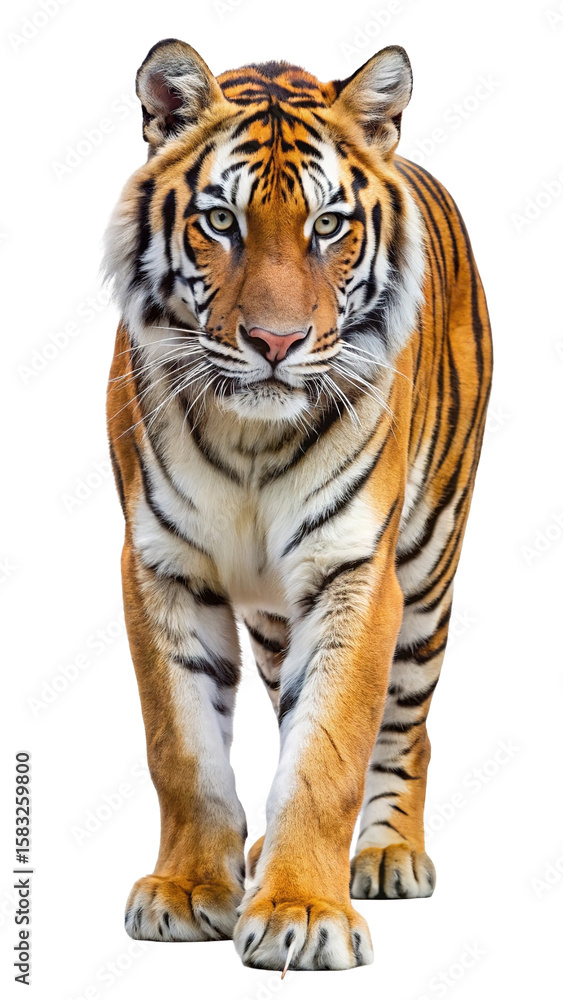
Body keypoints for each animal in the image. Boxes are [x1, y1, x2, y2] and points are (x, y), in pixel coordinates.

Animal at [103, 38, 492, 972]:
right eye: (220, 222)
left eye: (327, 226)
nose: (276, 343)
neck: (252, 439)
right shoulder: (161, 567)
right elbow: (181, 748)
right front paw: (186, 891)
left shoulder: (355, 571)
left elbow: (329, 750)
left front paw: (303, 913)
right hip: (280, 618)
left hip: (426, 571)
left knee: (408, 724)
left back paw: (387, 855)